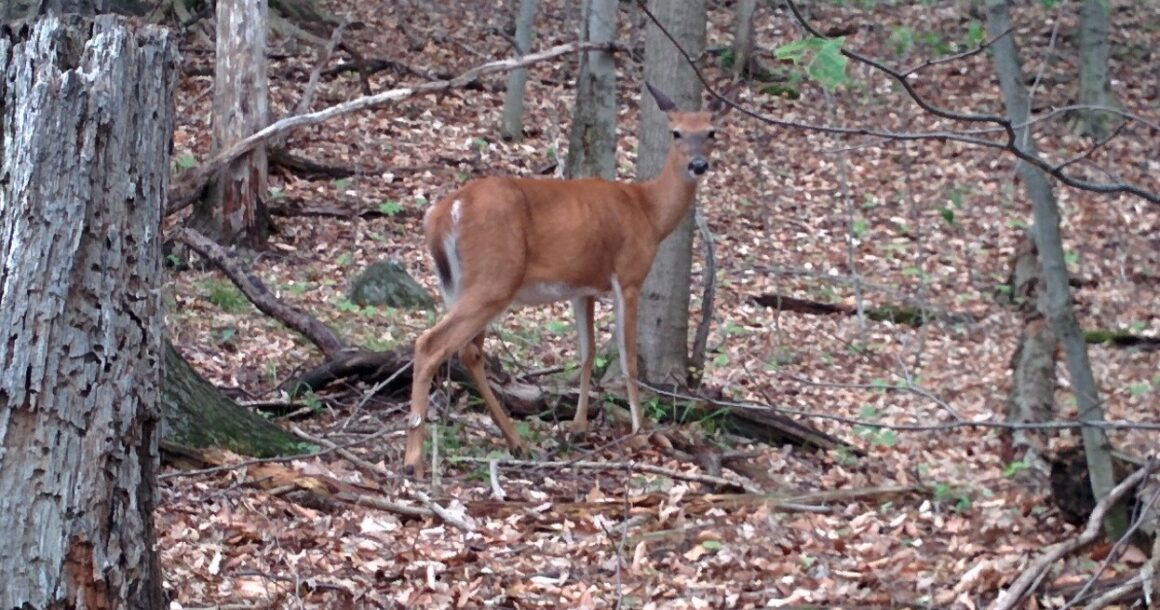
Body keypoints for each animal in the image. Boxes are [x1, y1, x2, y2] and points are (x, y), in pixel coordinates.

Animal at [403, 82, 719, 477]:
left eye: (711, 132)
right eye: (676, 132)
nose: (698, 165)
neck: (649, 212)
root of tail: (445, 212)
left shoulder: (582, 288)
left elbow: (587, 353)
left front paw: (579, 426)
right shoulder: (629, 275)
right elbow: (628, 357)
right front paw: (639, 433)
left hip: (465, 284)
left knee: (468, 351)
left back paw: (515, 441)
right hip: (493, 278)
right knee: (431, 343)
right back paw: (414, 459)